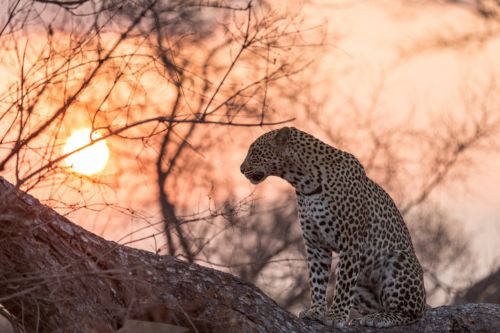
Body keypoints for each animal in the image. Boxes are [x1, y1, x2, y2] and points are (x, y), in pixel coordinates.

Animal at [239, 126, 426, 326]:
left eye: (255, 151)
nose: (241, 169)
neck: (304, 183)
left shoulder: (351, 243)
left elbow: (343, 284)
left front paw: (336, 316)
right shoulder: (315, 244)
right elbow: (317, 279)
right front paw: (315, 311)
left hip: (398, 260)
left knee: (411, 313)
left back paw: (379, 318)